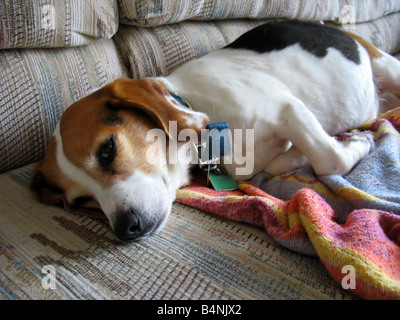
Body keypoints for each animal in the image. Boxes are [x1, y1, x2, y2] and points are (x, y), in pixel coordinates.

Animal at [29, 20, 400, 240]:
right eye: (81, 201)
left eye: (107, 149)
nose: (125, 229)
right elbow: (291, 159)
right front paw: (302, 153)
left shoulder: (288, 110)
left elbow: (328, 160)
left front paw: (358, 143)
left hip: (386, 64)